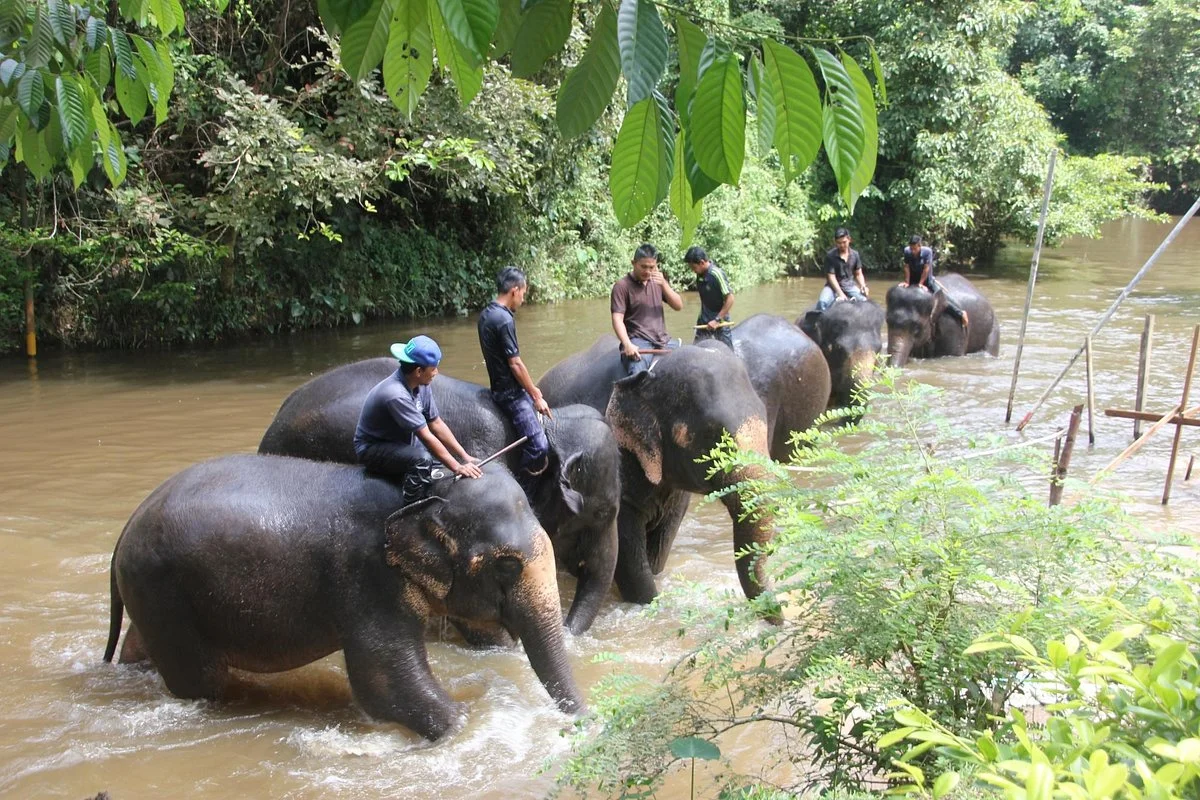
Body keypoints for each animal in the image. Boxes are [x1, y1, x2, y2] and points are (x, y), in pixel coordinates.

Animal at [104, 456, 584, 741]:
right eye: (506, 566)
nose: (587, 722)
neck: (420, 496)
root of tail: (123, 534)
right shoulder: (367, 578)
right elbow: (383, 682)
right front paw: (463, 726)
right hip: (163, 593)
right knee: (201, 681)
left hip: (152, 596)